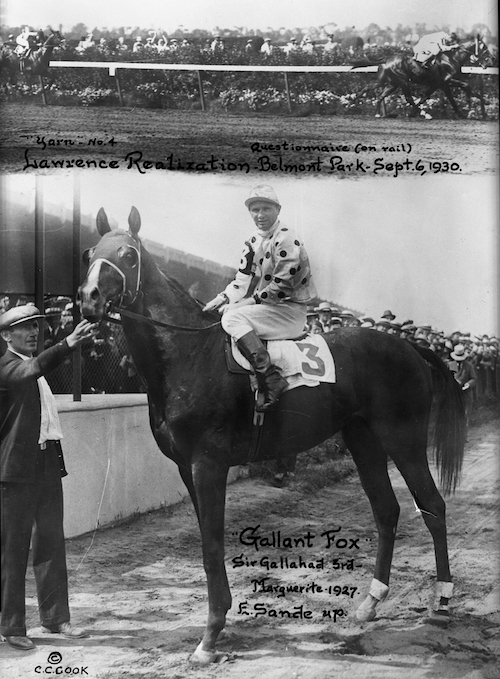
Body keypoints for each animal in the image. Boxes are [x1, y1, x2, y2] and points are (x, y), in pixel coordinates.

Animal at [77, 207, 464, 664]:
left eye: (128, 255)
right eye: (90, 254)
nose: (88, 298)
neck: (188, 355)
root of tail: (410, 348)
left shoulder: (208, 465)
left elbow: (211, 546)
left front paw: (209, 637)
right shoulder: (187, 469)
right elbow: (208, 541)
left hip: (404, 440)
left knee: (433, 506)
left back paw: (442, 601)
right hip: (363, 441)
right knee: (387, 511)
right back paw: (369, 604)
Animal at [356, 36, 492, 119]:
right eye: (484, 47)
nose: (491, 60)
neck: (452, 58)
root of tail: (387, 59)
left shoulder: (438, 84)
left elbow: (427, 98)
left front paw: (466, 112)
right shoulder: (447, 81)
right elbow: (466, 86)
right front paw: (479, 105)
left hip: (391, 82)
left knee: (376, 92)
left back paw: (368, 107)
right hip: (403, 81)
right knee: (408, 98)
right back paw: (423, 114)